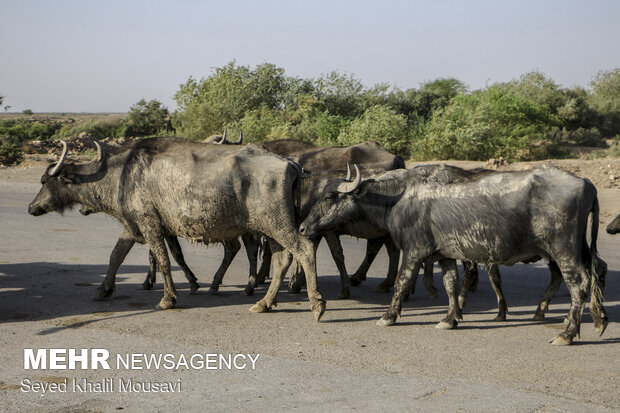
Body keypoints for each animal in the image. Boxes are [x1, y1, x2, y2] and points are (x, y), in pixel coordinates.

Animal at [29, 137, 326, 320]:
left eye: (44, 181)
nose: (32, 207)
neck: (120, 174)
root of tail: (289, 163)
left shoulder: (149, 225)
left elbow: (163, 260)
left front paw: (168, 298)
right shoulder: (133, 225)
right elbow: (116, 255)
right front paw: (103, 289)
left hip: (275, 223)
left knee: (304, 249)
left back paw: (316, 303)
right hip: (271, 228)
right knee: (282, 258)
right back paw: (264, 303)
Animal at [300, 163, 604, 342]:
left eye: (329, 197)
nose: (303, 227)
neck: (401, 195)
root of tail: (585, 182)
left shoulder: (414, 251)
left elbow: (401, 282)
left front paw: (389, 316)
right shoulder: (444, 255)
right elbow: (450, 285)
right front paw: (450, 318)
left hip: (562, 250)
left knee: (578, 283)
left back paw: (568, 332)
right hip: (577, 248)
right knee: (595, 271)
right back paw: (596, 319)